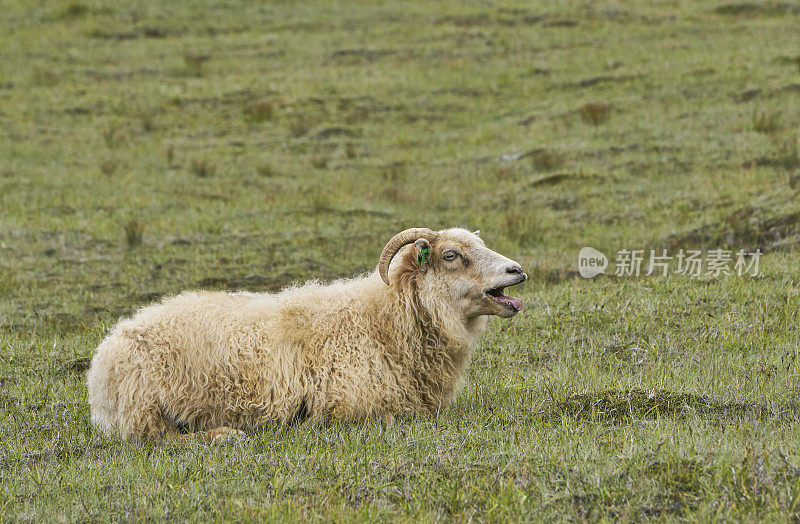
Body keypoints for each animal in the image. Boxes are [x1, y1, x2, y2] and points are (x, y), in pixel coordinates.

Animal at [87, 227, 528, 440]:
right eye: (452, 255)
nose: (517, 270)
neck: (382, 320)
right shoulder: (357, 407)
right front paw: (304, 423)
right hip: (143, 408)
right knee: (158, 440)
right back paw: (226, 435)